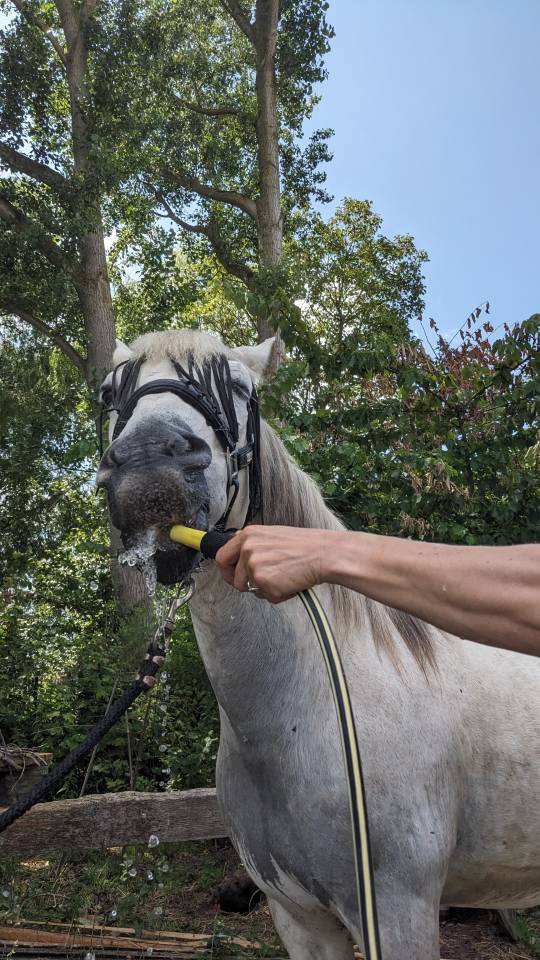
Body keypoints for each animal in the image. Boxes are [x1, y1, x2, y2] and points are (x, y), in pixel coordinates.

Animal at [97, 329, 540, 960]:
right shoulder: (298, 918)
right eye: (112, 392)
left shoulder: (398, 912)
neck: (303, 715)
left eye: (238, 387)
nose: (150, 463)